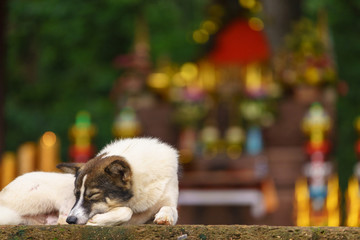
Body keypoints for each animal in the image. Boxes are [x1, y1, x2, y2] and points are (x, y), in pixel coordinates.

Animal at [0, 138, 179, 226]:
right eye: (75, 195)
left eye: (92, 195)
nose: (71, 221)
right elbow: (126, 211)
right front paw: (98, 221)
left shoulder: (168, 199)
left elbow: (170, 209)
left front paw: (164, 217)